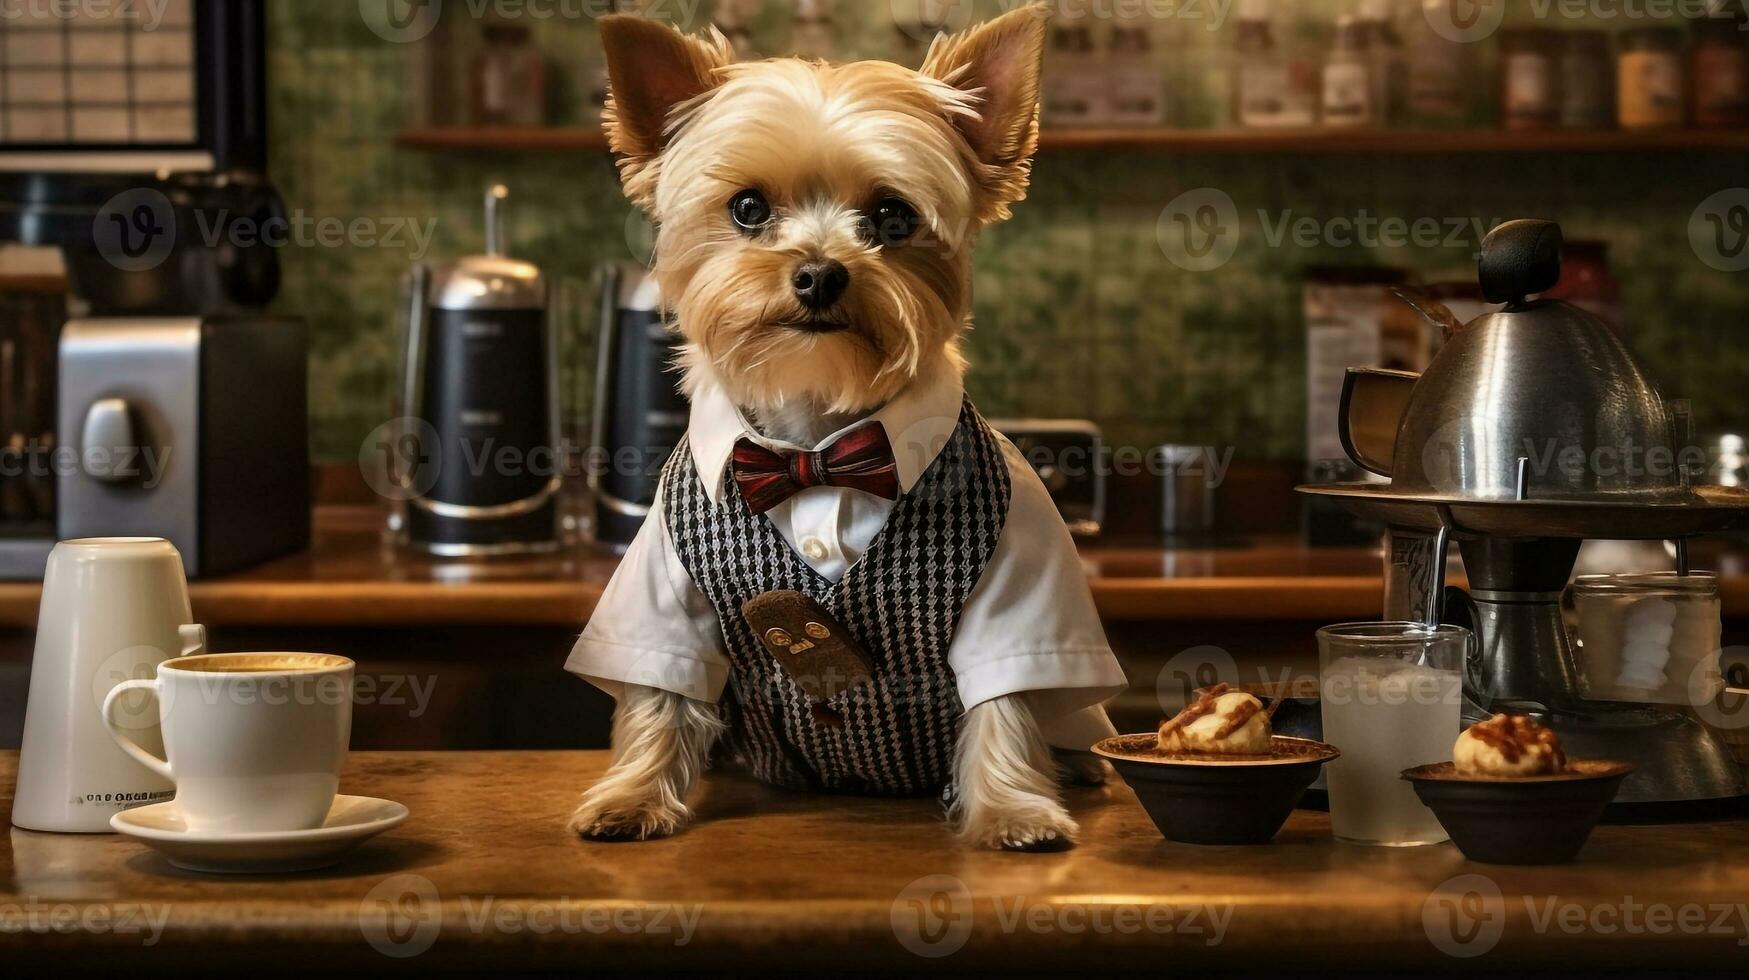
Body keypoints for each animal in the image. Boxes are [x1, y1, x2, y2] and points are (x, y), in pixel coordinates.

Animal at [573, 3, 1119, 850]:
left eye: (892, 216)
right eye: (748, 208)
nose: (819, 272)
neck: (815, 442)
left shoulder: (1017, 565)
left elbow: (1005, 700)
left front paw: (1012, 812)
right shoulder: (664, 582)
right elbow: (659, 691)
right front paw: (630, 797)